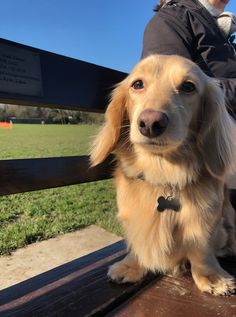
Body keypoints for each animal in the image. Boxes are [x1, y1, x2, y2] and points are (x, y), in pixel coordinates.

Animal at [90, 54, 236, 294]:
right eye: (137, 84)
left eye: (188, 86)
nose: (150, 123)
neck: (162, 174)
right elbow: (137, 243)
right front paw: (131, 266)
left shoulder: (205, 221)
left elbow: (201, 249)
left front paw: (211, 277)